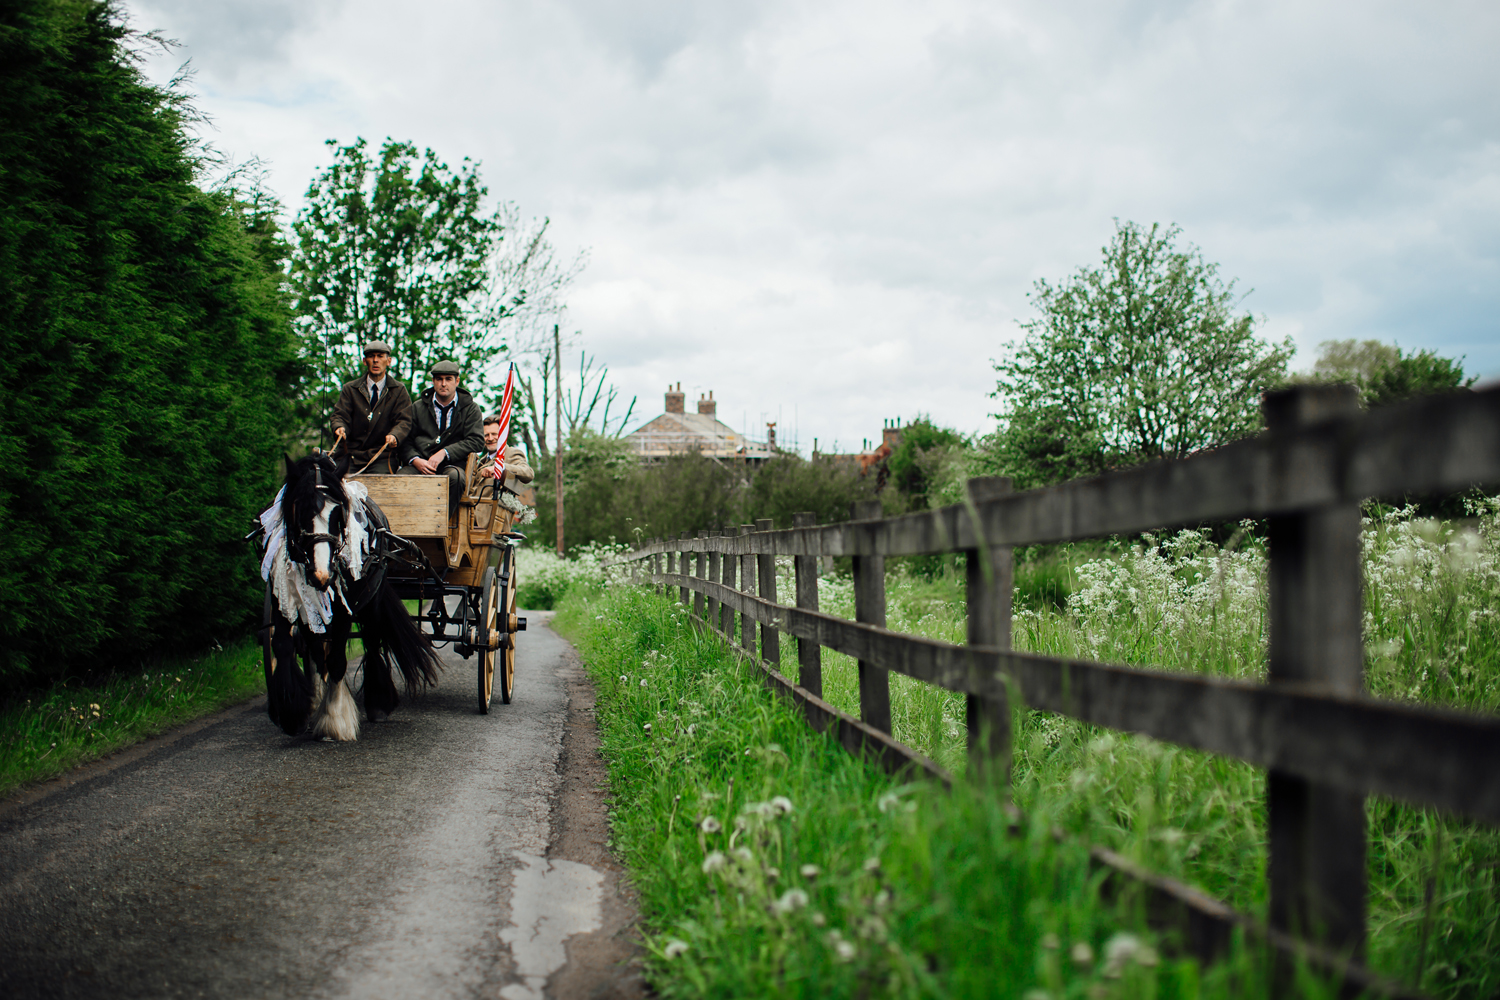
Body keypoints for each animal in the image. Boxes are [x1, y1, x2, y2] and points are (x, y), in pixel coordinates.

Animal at [256, 452, 438, 743]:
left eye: (338, 512)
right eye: (299, 507)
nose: (322, 574)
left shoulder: (345, 608)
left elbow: (338, 660)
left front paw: (334, 719)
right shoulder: (284, 596)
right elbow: (286, 645)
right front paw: (292, 712)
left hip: (372, 597)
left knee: (372, 640)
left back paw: (377, 702)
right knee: (316, 647)